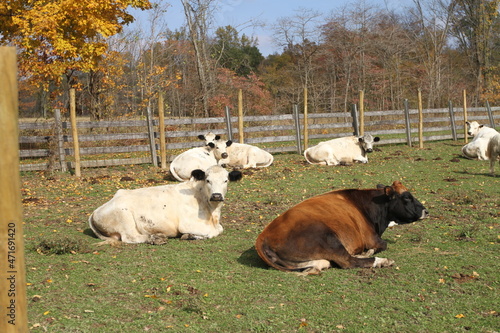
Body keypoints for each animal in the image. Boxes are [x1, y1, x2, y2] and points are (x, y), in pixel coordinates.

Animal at [89, 166, 242, 244]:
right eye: (207, 180)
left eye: (226, 180)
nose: (217, 195)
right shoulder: (187, 224)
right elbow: (214, 232)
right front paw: (190, 235)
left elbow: (219, 229)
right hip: (124, 217)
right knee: (130, 237)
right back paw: (156, 238)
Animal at [256, 180, 428, 274]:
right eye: (407, 197)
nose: (426, 211)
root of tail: (263, 236)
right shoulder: (372, 239)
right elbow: (381, 245)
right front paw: (369, 253)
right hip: (328, 237)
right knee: (347, 261)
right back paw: (382, 261)